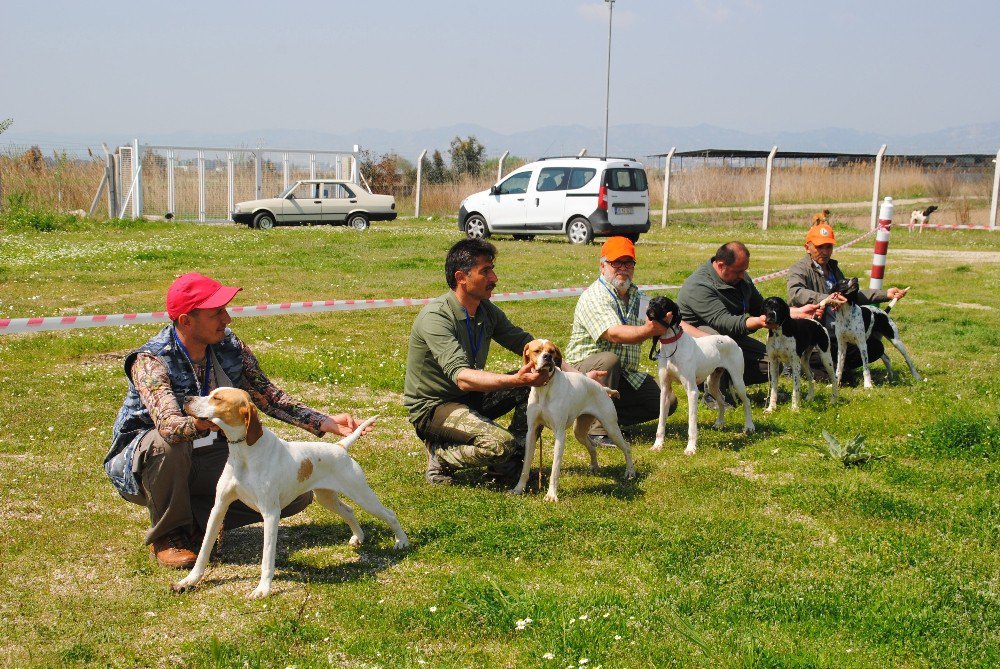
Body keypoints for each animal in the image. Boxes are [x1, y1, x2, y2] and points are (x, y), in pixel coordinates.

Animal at [173, 386, 410, 600]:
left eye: (218, 398)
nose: (186, 398)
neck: (245, 453)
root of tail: (340, 447)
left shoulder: (270, 513)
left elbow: (267, 558)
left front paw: (263, 589)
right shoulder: (219, 507)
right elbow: (204, 550)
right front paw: (189, 580)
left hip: (362, 495)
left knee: (389, 514)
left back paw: (401, 541)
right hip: (326, 498)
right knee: (349, 511)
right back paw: (358, 537)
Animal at [516, 340, 632, 500]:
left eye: (552, 351)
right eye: (537, 350)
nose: (547, 357)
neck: (545, 388)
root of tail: (603, 389)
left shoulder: (559, 433)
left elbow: (555, 469)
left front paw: (551, 495)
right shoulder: (532, 431)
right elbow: (525, 465)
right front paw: (518, 489)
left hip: (611, 428)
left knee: (627, 447)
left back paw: (630, 472)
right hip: (579, 432)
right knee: (592, 447)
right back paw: (594, 467)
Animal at [644, 296, 752, 456]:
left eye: (663, 302)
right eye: (652, 300)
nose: (650, 304)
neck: (672, 344)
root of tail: (728, 338)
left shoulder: (692, 391)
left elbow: (692, 424)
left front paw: (691, 448)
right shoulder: (665, 390)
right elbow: (661, 422)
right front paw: (658, 445)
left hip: (738, 381)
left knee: (747, 402)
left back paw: (749, 426)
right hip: (712, 384)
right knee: (721, 401)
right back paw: (719, 423)